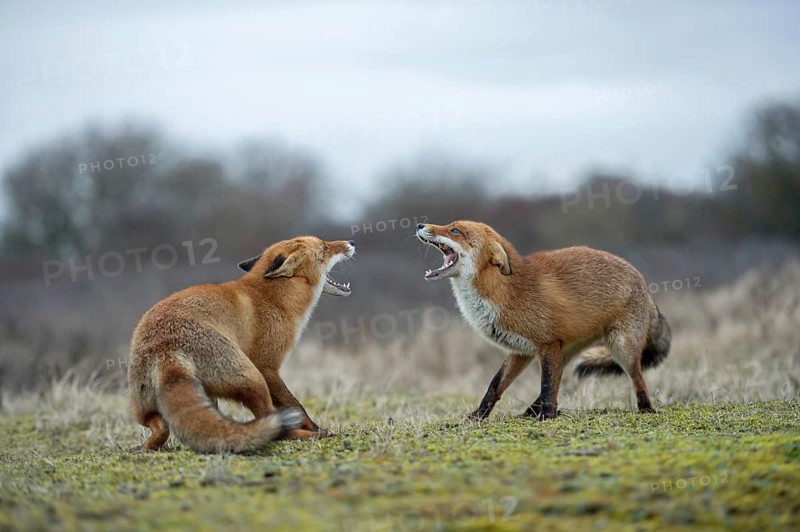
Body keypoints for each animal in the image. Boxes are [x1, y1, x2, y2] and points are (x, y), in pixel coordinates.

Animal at [128, 236, 355, 453]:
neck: (275, 298)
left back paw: (145, 447)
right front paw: (316, 428)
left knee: (160, 427)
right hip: (252, 377)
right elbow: (296, 405)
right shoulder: (267, 366)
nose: (351, 242)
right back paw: (310, 434)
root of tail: (165, 348)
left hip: (146, 407)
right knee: (273, 423)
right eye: (325, 247)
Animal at [416, 220, 670, 420]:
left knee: (638, 377)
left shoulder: (546, 344)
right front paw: (478, 416)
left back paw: (646, 408)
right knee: (558, 379)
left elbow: (546, 385)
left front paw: (547, 417)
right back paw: (531, 411)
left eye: (455, 230)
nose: (419, 225)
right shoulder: (521, 351)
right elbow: (495, 386)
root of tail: (643, 282)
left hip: (620, 347)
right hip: (565, 351)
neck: (504, 292)